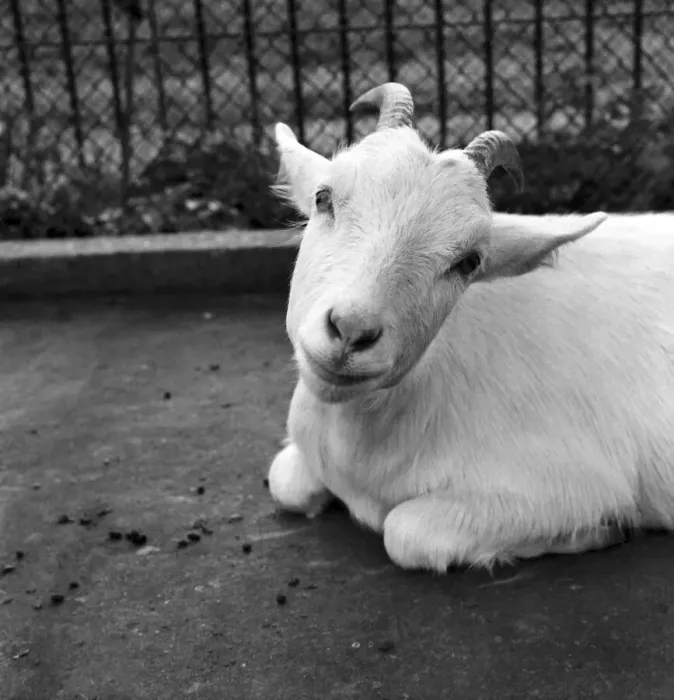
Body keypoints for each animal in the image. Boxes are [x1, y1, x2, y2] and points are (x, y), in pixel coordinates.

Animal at [266, 82, 674, 573]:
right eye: (323, 197)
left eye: (468, 262)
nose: (351, 331)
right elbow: (284, 482)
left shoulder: (569, 482)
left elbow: (404, 532)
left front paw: (600, 530)